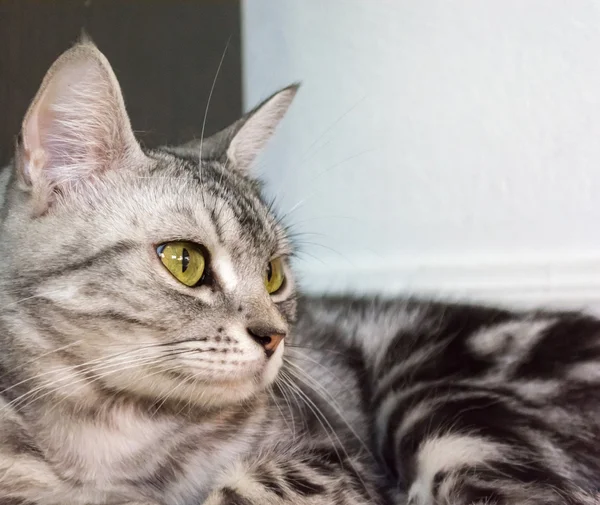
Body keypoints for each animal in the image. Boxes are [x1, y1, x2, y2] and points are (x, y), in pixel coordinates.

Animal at [0, 41, 596, 504]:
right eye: (184, 262)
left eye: (273, 274)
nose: (275, 337)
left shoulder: (331, 461)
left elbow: (249, 489)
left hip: (441, 405)